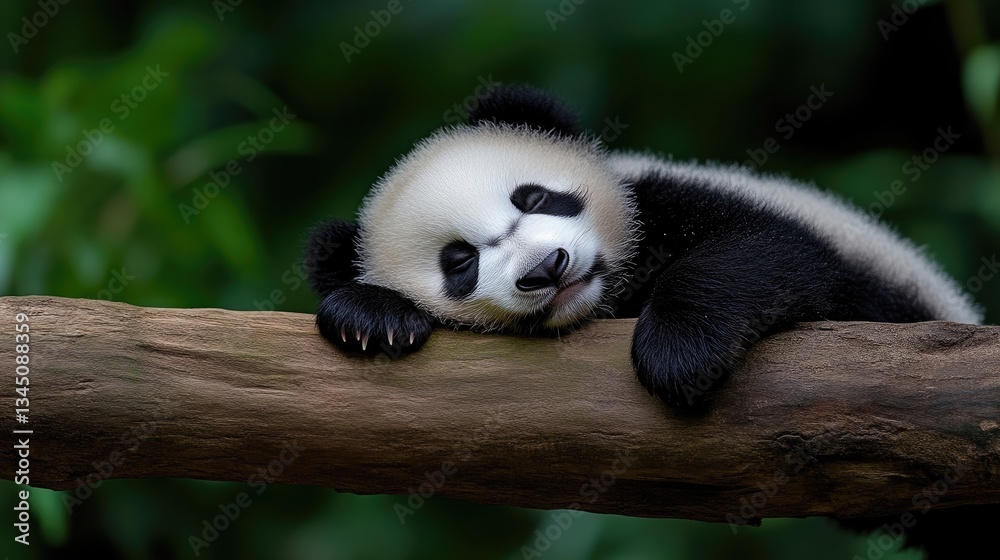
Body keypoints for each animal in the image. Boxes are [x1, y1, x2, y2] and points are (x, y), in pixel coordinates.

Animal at [303, 84, 982, 408]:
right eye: (461, 262)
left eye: (534, 198)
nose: (547, 268)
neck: (614, 295)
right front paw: (372, 316)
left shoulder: (668, 198)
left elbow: (770, 252)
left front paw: (678, 353)